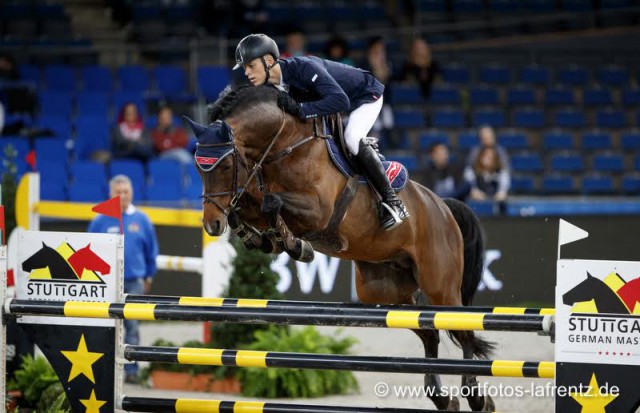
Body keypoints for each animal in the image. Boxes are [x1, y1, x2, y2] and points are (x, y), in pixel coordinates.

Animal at [190, 85, 496, 410]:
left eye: (224, 165)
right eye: (199, 167)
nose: (212, 225)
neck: (285, 144)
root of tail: (443, 206)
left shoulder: (318, 211)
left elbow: (271, 202)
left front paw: (293, 244)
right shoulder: (253, 195)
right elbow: (246, 208)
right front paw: (267, 240)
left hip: (440, 285)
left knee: (463, 331)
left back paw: (477, 398)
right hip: (385, 292)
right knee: (429, 333)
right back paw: (442, 398)